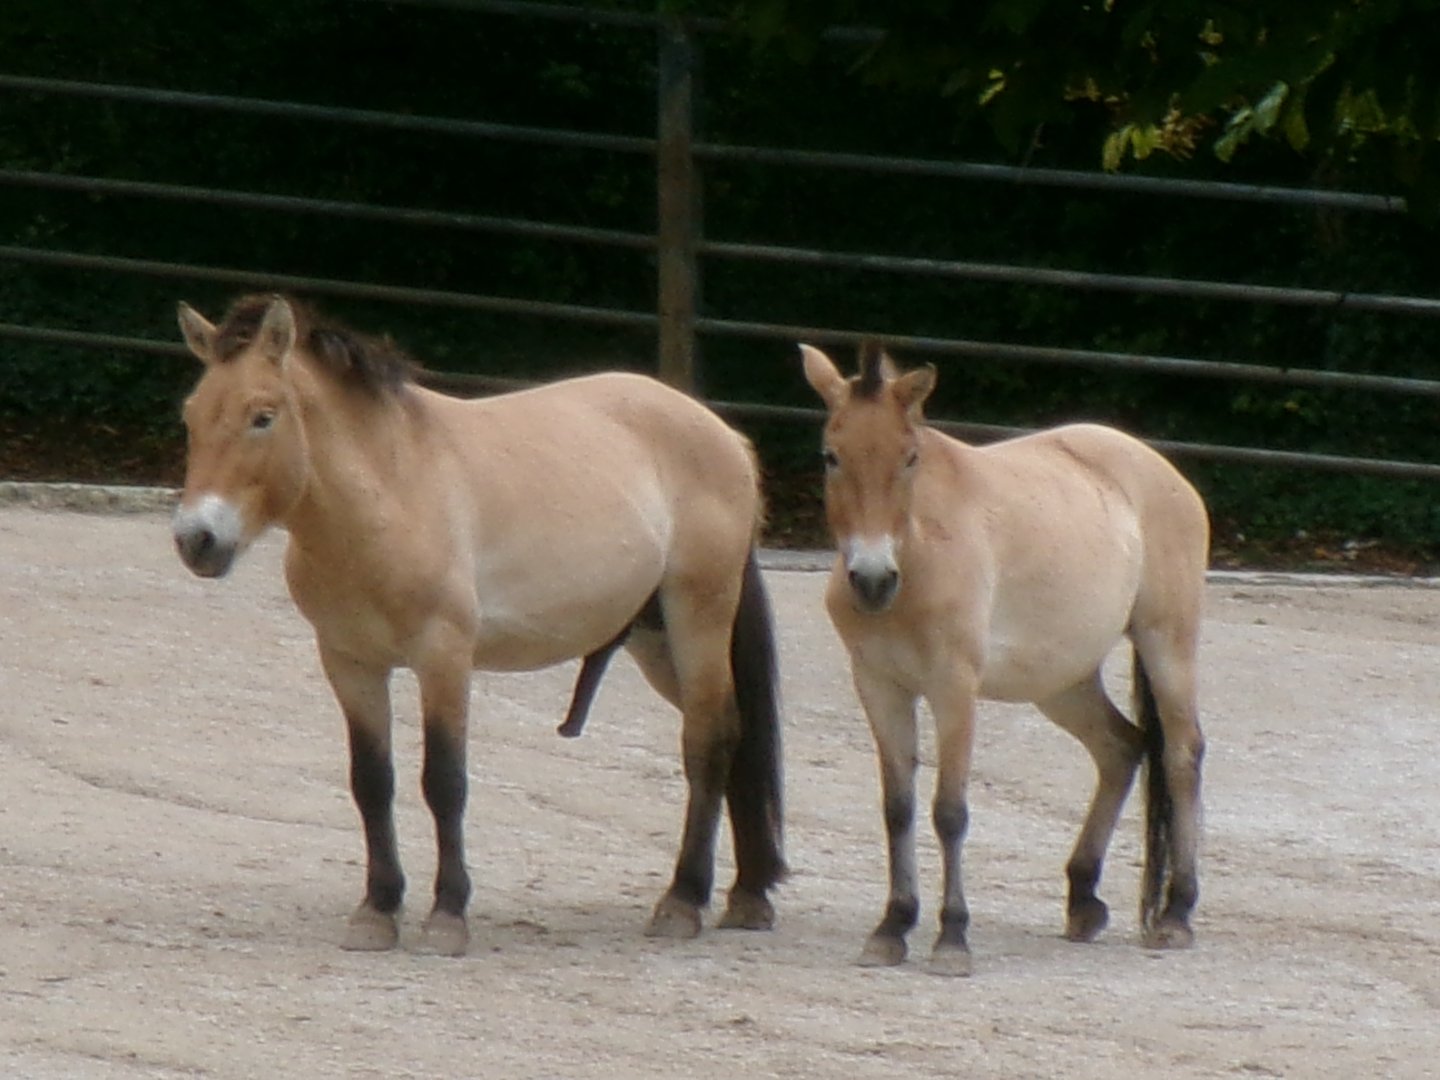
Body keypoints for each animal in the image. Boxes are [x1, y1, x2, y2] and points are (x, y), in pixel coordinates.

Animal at [169, 293, 785, 956]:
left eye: (262, 416)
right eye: (191, 415)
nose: (197, 540)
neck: (391, 489)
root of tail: (720, 433)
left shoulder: (443, 658)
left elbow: (444, 781)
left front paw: (447, 915)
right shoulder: (350, 664)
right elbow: (371, 782)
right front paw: (377, 909)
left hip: (698, 618)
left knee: (708, 741)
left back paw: (683, 901)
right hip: (656, 640)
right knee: (736, 733)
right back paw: (747, 896)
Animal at [800, 342, 1208, 976]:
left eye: (910, 458)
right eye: (831, 456)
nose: (871, 580)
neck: (919, 551)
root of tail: (1157, 470)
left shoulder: (954, 689)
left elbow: (949, 810)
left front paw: (952, 938)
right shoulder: (879, 686)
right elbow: (898, 807)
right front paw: (892, 927)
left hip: (1168, 645)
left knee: (1182, 755)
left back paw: (1176, 914)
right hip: (1062, 681)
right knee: (1121, 748)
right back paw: (1083, 898)